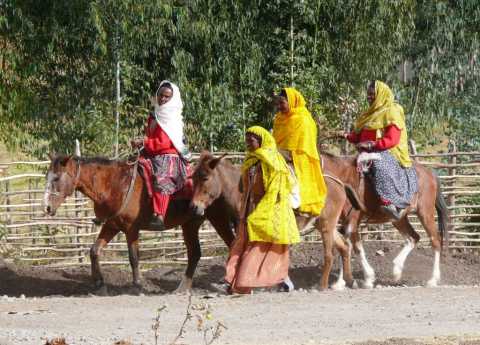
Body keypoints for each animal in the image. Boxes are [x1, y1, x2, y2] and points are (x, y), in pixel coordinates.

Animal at [43, 155, 236, 292]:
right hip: (190, 224)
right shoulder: (112, 226)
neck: (114, 185)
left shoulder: (131, 229)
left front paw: (138, 284)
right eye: (47, 177)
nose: (47, 207)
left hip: (218, 219)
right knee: (195, 253)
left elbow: (133, 257)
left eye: (56, 178)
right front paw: (99, 283)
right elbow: (94, 251)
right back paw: (183, 288)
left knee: (231, 244)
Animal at [190, 152, 352, 288]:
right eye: (193, 178)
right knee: (344, 247)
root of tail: (339, 184)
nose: (194, 206)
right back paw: (350, 281)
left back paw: (322, 285)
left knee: (329, 255)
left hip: (326, 226)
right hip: (325, 225)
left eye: (205, 178)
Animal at [318, 152, 450, 286]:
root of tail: (429, 173)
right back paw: (397, 270)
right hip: (399, 219)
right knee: (413, 237)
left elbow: (352, 247)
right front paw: (350, 281)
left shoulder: (352, 221)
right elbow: (348, 247)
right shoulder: (344, 223)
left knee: (435, 241)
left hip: (425, 213)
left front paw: (358, 279)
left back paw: (433, 279)